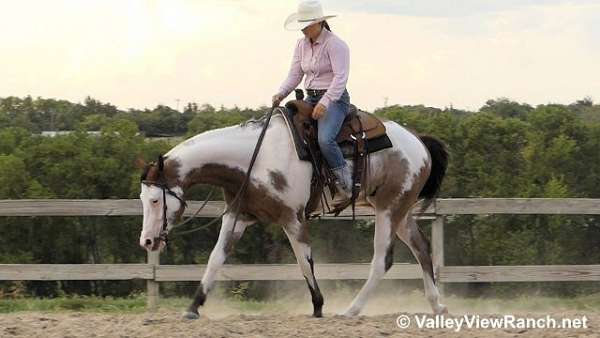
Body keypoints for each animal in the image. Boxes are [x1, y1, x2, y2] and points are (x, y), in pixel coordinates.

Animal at [139, 109, 450, 320]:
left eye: (154, 200)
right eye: (142, 199)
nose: (147, 242)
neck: (254, 159)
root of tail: (419, 142)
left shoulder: (292, 218)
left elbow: (304, 261)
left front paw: (318, 306)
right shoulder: (238, 216)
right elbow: (215, 259)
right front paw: (193, 308)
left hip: (388, 209)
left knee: (382, 260)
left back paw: (351, 309)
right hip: (400, 211)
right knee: (422, 248)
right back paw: (437, 305)